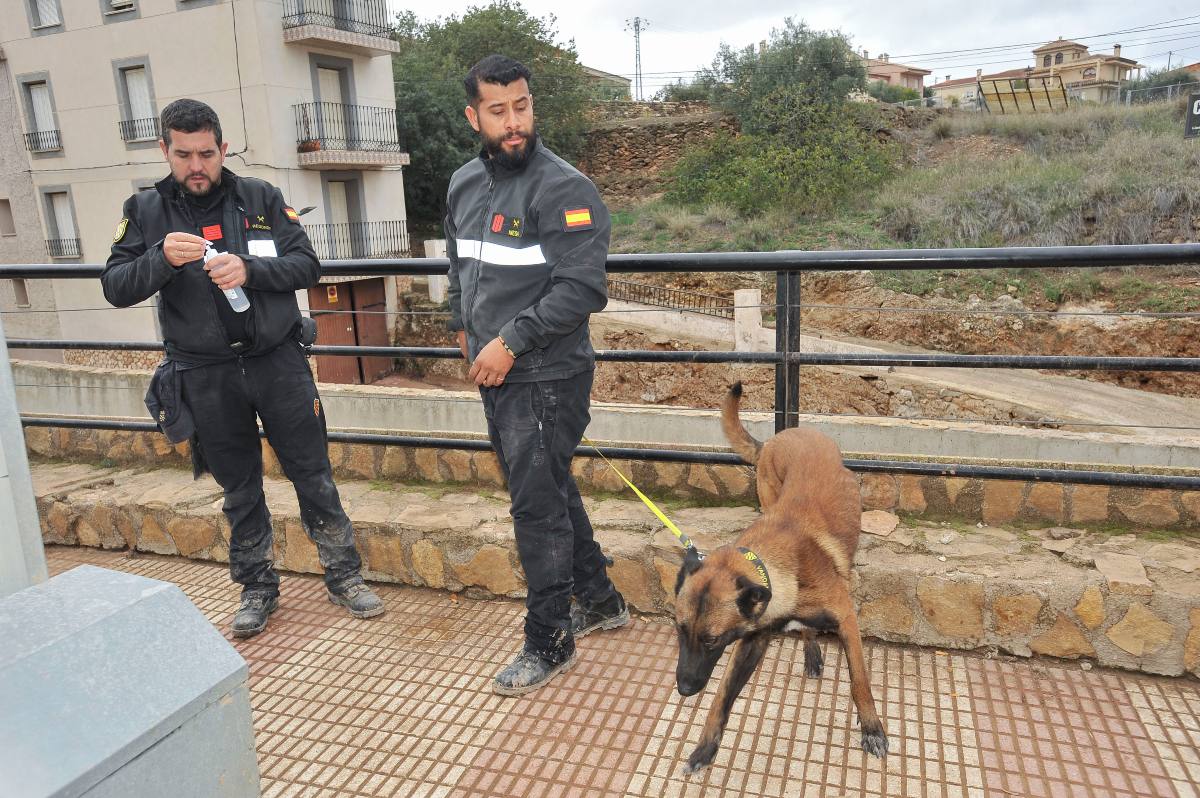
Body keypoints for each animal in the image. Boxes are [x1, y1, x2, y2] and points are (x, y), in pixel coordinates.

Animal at [676, 379, 892, 772]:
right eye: (679, 630)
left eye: (712, 641)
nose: (683, 689)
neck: (775, 569)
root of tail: (783, 434)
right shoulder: (752, 640)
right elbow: (722, 696)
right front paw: (705, 747)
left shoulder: (847, 619)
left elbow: (859, 680)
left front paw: (872, 729)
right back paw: (810, 649)